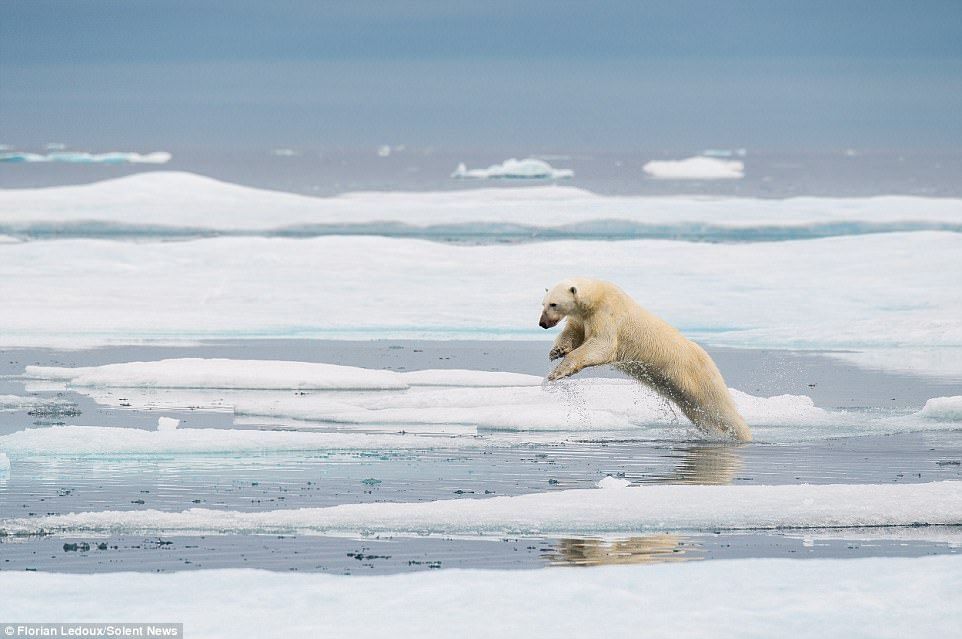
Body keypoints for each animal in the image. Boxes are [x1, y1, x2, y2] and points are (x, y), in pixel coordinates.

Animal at [539, 277, 752, 442]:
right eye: (543, 303)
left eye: (554, 304)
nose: (542, 324)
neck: (598, 296)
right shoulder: (582, 317)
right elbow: (573, 333)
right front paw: (556, 351)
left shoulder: (608, 314)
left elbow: (602, 345)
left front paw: (558, 372)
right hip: (681, 392)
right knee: (699, 413)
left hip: (699, 375)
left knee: (720, 407)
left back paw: (742, 434)